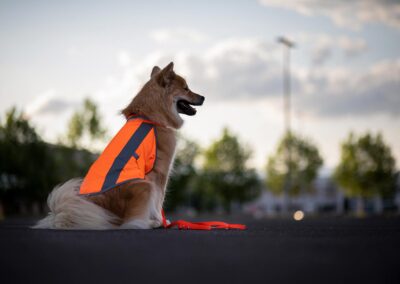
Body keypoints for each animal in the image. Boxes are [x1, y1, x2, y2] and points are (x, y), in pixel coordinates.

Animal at [34, 62, 205, 229]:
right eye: (186, 88)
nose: (203, 97)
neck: (149, 117)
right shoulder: (160, 173)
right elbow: (159, 201)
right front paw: (161, 220)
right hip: (144, 185)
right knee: (128, 222)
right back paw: (150, 223)